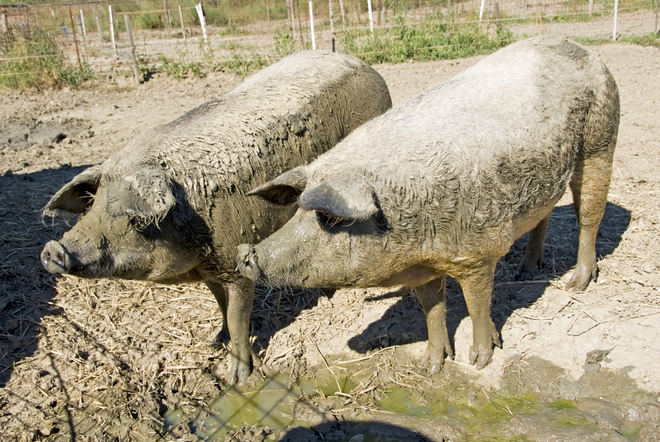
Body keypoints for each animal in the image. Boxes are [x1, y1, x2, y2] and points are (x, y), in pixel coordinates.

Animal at [40, 50, 392, 386]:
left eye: (136, 220)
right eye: (93, 205)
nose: (55, 249)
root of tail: (364, 66)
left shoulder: (236, 265)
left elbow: (238, 319)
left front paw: (237, 379)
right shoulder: (209, 269)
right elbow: (220, 305)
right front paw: (216, 341)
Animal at [237, 38, 620, 374]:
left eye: (329, 218)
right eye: (297, 210)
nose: (246, 254)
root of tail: (583, 49)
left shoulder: (478, 253)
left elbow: (476, 304)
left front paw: (479, 360)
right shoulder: (422, 266)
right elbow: (432, 310)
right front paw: (430, 367)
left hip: (601, 140)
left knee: (590, 213)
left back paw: (577, 283)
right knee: (544, 216)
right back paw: (527, 272)